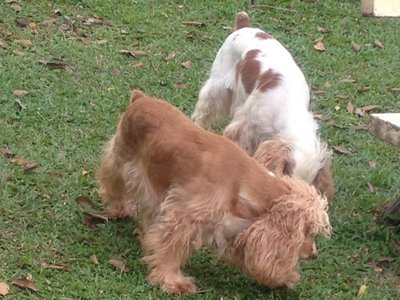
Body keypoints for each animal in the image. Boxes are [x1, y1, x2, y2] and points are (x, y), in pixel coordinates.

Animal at [97, 89, 332, 296]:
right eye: (307, 231)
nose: (314, 254)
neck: (241, 182)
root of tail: (141, 98)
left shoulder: (228, 228)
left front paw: (282, 279)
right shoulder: (183, 217)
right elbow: (171, 249)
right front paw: (172, 280)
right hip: (122, 160)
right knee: (112, 182)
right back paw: (120, 208)